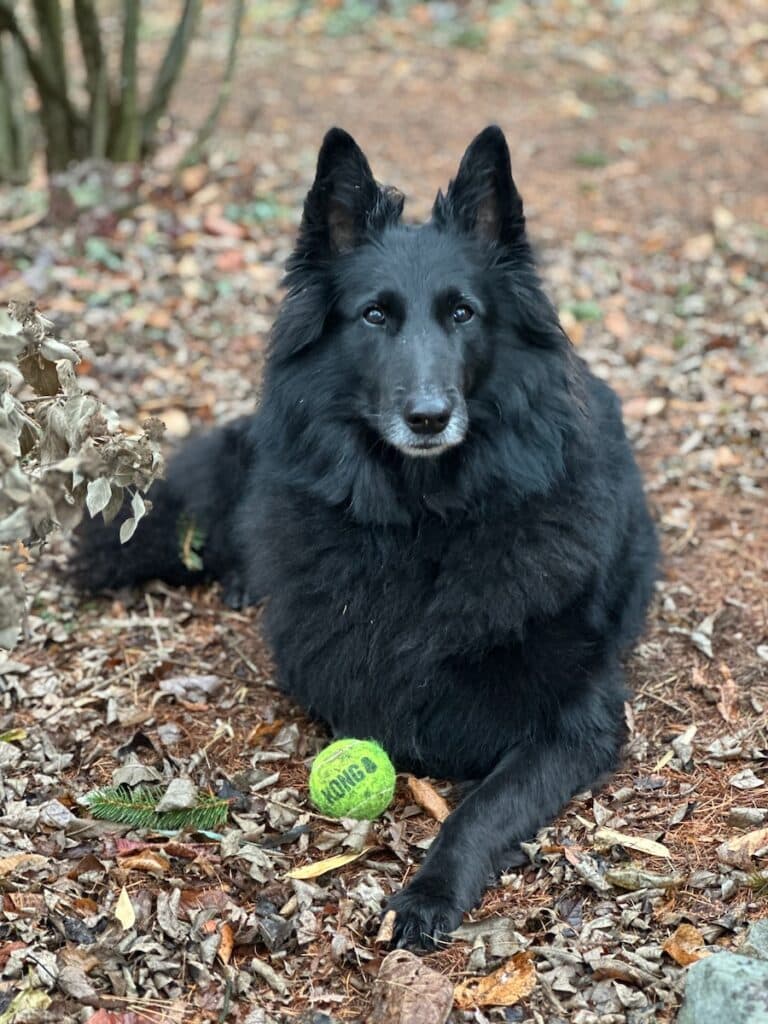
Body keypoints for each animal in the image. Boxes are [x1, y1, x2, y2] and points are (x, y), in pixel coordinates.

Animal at [75, 128, 659, 950]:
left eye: (463, 313)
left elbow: (481, 806)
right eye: (375, 316)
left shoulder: (576, 721)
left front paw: (430, 890)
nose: (428, 416)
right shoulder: (331, 670)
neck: (426, 519)